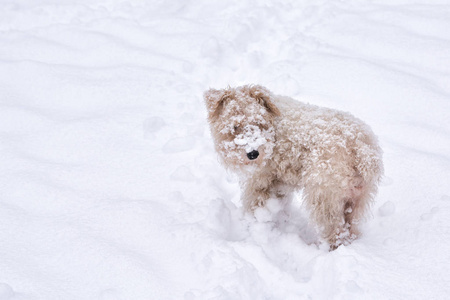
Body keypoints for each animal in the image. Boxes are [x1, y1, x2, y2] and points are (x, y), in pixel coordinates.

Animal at [204, 84, 384, 248]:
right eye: (235, 127)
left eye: (259, 123)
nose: (253, 153)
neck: (273, 128)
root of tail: (360, 145)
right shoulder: (278, 181)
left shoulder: (260, 179)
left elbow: (254, 204)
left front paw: (252, 224)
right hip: (356, 199)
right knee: (350, 228)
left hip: (324, 196)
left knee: (335, 232)